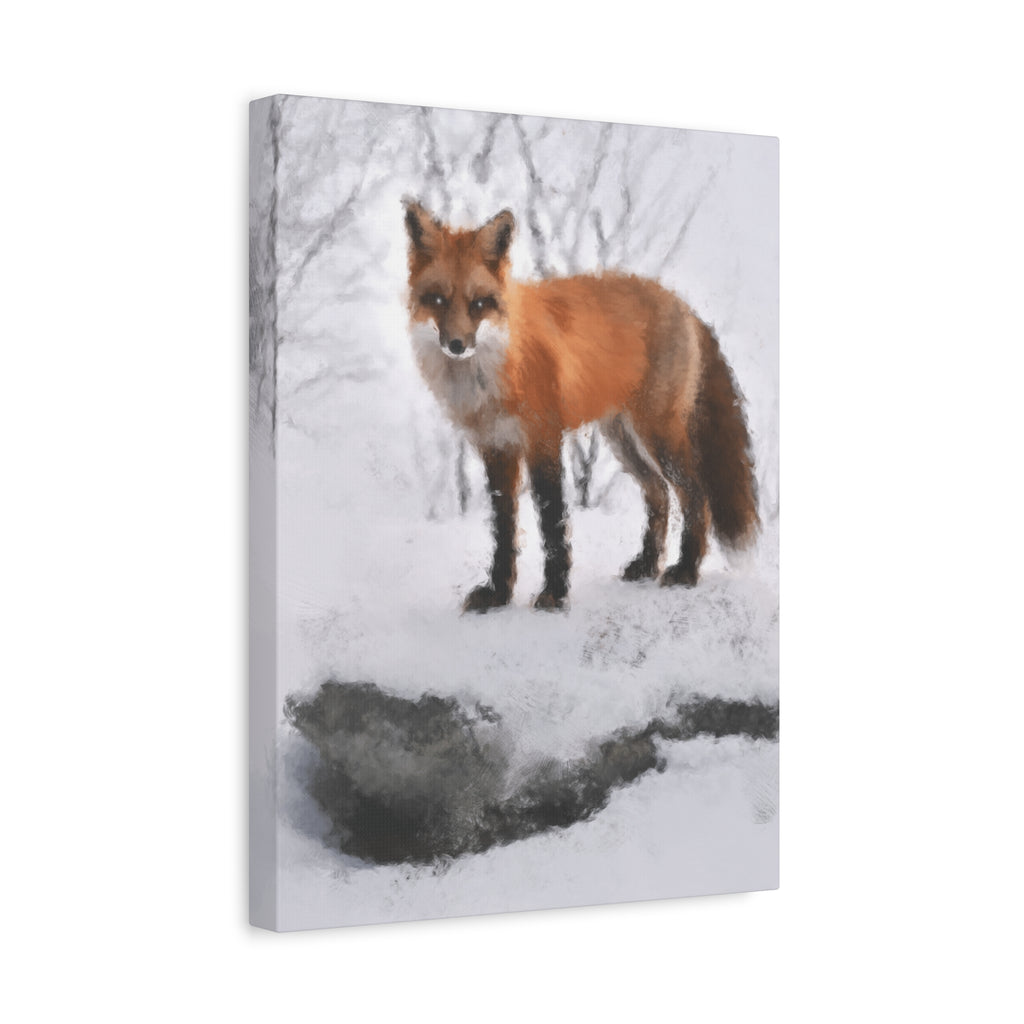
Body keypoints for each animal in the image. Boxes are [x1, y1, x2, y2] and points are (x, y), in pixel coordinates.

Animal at [404, 199, 758, 613]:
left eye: (478, 304)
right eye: (438, 300)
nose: (457, 345)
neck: (493, 372)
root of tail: (681, 302)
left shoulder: (543, 439)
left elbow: (552, 521)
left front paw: (554, 593)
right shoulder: (496, 448)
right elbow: (504, 529)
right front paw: (498, 594)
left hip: (658, 436)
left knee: (695, 495)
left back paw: (686, 570)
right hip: (624, 440)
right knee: (659, 495)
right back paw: (647, 564)